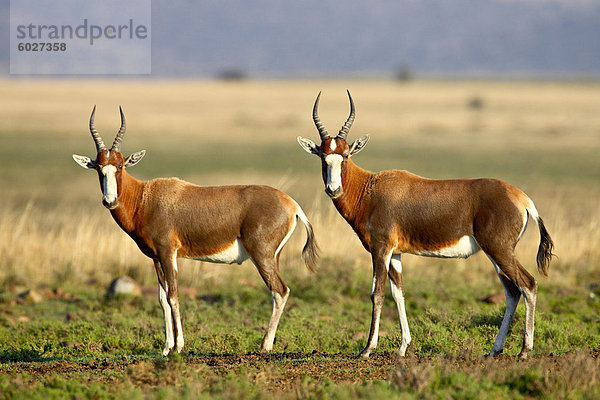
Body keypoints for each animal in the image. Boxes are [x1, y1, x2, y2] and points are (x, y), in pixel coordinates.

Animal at [73, 106, 318, 356]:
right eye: (99, 168)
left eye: (121, 166)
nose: (109, 201)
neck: (146, 197)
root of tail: (292, 204)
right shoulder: (156, 258)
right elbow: (162, 299)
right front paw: (166, 347)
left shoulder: (168, 253)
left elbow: (173, 296)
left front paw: (179, 346)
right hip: (272, 257)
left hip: (262, 256)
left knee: (280, 291)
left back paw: (264, 346)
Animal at [298, 90, 556, 360]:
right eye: (323, 156)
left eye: (346, 155)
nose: (333, 189)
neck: (371, 188)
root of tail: (522, 199)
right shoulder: (396, 253)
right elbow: (398, 293)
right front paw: (403, 347)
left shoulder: (380, 250)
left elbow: (377, 293)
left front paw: (367, 349)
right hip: (495, 254)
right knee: (512, 291)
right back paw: (495, 350)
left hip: (499, 250)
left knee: (528, 284)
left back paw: (524, 351)